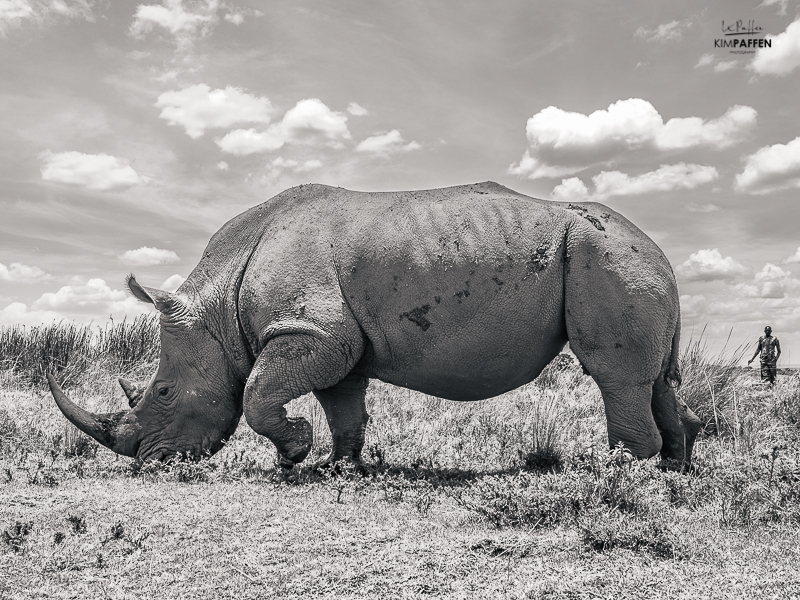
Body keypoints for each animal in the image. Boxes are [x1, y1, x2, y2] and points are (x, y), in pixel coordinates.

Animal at [50, 183, 700, 468]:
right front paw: (341, 466)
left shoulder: (309, 330)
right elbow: (344, 406)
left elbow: (258, 392)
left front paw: (293, 455)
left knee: (614, 376)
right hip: (624, 260)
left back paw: (621, 478)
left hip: (603, 255)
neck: (217, 305)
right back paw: (672, 472)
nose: (149, 460)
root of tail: (661, 251)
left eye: (162, 391)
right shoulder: (330, 339)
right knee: (655, 380)